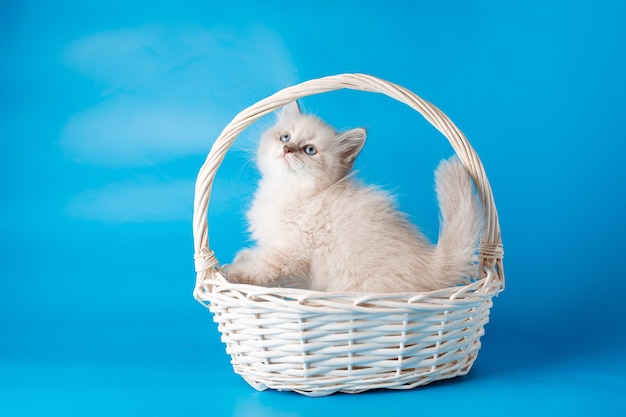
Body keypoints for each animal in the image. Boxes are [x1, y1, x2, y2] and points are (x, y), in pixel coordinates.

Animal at [227, 103, 480, 292]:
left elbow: (262, 268)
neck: (288, 191)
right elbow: (259, 253)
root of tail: (431, 265)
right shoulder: (275, 241)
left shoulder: (289, 250)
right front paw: (243, 255)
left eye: (309, 150)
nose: (287, 149)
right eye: (285, 137)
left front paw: (234, 271)